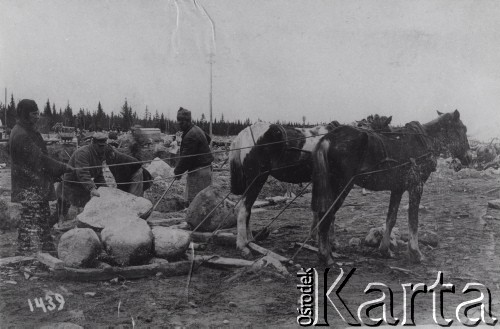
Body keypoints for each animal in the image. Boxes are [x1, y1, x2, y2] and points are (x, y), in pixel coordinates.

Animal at [310, 110, 470, 264]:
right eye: (463, 129)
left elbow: (391, 218)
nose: (469, 157)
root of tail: (329, 137)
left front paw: (385, 249)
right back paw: (326, 255)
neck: (424, 141)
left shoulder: (397, 189)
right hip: (341, 186)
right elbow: (413, 221)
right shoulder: (416, 187)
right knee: (326, 216)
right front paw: (415, 253)